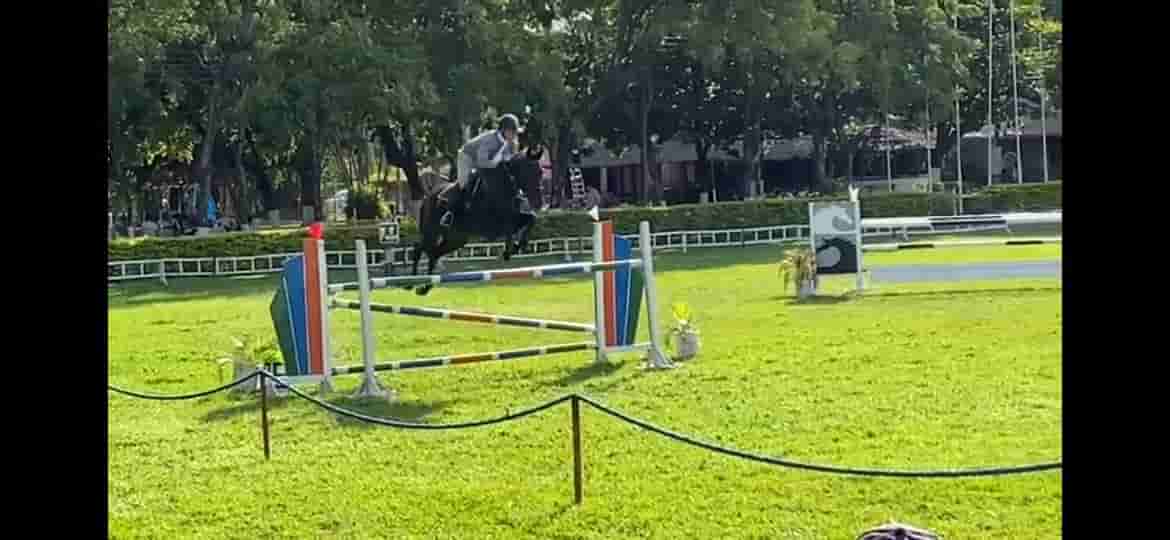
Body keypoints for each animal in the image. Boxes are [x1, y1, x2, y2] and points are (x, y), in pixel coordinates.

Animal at [407, 145, 542, 295]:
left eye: (540, 172)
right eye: (528, 170)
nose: (538, 202)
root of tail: (428, 197)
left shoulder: (512, 217)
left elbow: (530, 218)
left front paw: (517, 246)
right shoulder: (492, 224)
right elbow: (509, 227)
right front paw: (508, 251)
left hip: (456, 239)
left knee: (434, 253)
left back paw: (425, 287)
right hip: (432, 231)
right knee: (419, 249)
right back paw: (411, 283)